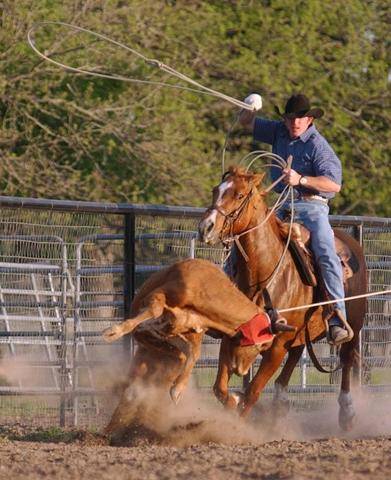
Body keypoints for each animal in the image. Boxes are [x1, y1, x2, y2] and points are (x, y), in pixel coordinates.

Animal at [199, 167, 368, 430]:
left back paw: (347, 413)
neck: (264, 276)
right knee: (296, 356)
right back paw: (279, 405)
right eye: (216, 190)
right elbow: (220, 389)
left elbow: (253, 393)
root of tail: (352, 244)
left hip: (354, 323)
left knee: (347, 360)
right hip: (299, 332)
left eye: (239, 195)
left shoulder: (277, 347)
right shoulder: (232, 335)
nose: (205, 228)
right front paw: (233, 403)